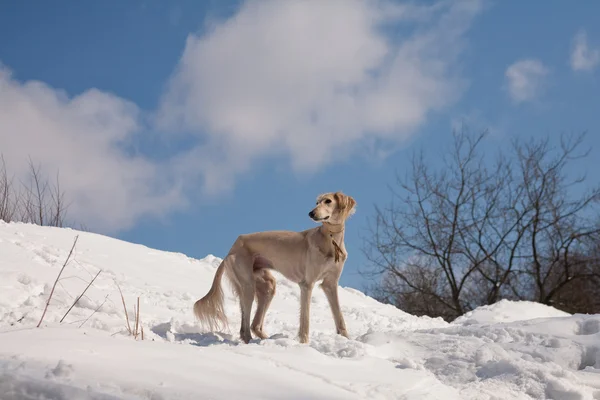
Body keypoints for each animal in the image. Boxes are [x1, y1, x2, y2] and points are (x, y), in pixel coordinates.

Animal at [192, 192, 354, 342]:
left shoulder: (330, 284)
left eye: (328, 201)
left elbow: (339, 316)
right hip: (248, 285)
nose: (311, 213)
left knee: (254, 325)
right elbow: (305, 320)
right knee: (245, 326)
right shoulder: (307, 284)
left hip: (266, 285)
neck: (330, 240)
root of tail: (231, 250)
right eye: (317, 202)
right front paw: (304, 344)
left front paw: (346, 339)